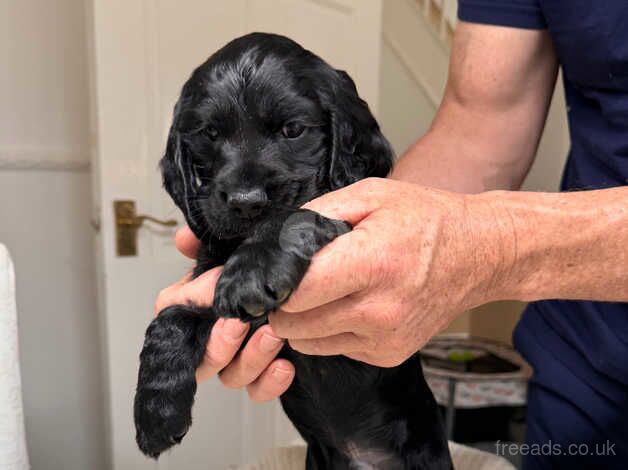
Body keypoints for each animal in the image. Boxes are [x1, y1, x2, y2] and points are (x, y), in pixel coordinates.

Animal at [135, 33, 454, 470]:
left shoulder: (351, 221)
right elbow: (172, 318)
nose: (246, 202)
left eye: (293, 129)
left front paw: (252, 271)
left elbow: (297, 213)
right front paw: (155, 413)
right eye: (210, 133)